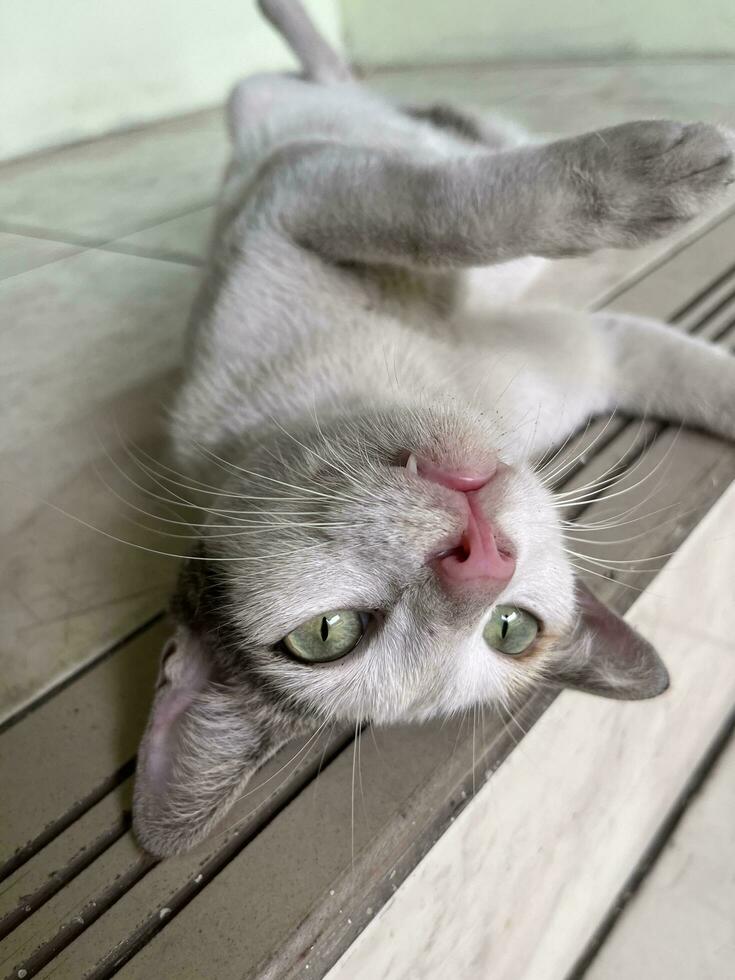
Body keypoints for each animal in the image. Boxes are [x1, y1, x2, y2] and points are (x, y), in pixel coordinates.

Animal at [132, 0, 735, 856]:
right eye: (328, 635)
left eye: (511, 627)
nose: (480, 559)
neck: (422, 380)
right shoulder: (302, 192)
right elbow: (443, 216)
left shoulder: (301, 198)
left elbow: (444, 216)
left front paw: (656, 174)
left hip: (284, 117)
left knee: (389, 108)